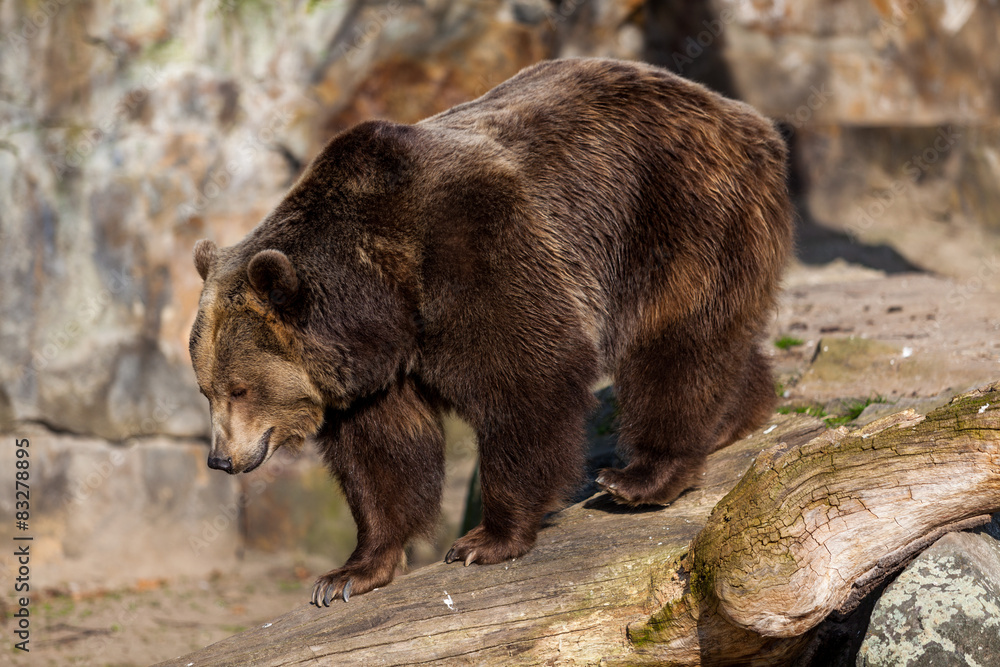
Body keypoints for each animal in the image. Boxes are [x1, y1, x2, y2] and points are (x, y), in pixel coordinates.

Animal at [188, 57, 793, 606]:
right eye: (207, 390)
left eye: (240, 388)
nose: (221, 459)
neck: (382, 291)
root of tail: (745, 117)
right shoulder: (375, 367)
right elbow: (383, 453)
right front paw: (351, 573)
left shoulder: (475, 248)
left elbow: (526, 375)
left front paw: (487, 539)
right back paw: (737, 416)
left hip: (679, 211)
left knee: (674, 342)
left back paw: (640, 475)